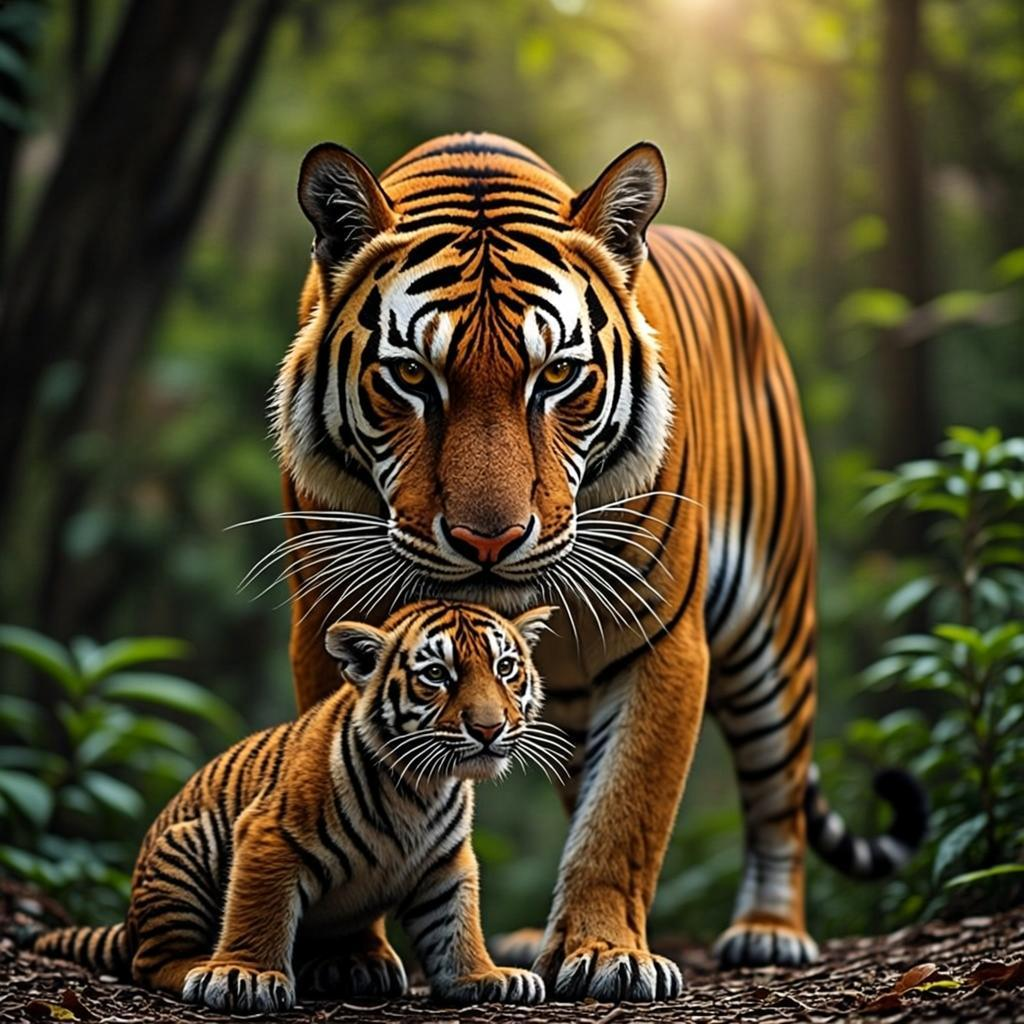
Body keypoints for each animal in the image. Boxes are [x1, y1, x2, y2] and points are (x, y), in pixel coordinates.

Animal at [32, 600, 563, 1013]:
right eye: (436, 675)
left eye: (505, 669)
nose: (489, 728)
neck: (422, 787)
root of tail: (129, 922)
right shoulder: (270, 836)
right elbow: (259, 912)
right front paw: (244, 976)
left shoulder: (448, 863)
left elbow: (456, 925)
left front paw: (484, 976)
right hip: (184, 850)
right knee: (151, 962)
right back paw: (203, 966)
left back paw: (352, 966)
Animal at [269, 132, 927, 1002]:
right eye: (411, 376)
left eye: (556, 376)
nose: (489, 540)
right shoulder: (331, 622)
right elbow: (340, 778)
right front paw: (347, 956)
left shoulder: (662, 639)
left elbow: (625, 811)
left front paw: (607, 953)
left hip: (772, 637)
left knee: (776, 791)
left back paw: (769, 931)